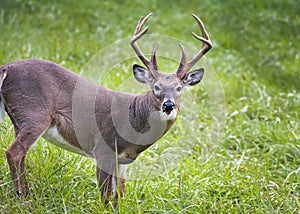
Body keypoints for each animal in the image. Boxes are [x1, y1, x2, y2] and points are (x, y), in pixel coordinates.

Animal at [0, 13, 211, 204]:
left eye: (179, 88)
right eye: (156, 87)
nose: (169, 105)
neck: (133, 120)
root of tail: (6, 68)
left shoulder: (122, 160)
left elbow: (120, 195)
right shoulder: (102, 148)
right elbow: (105, 195)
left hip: (21, 119)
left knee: (21, 154)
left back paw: (26, 192)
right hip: (34, 113)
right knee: (13, 152)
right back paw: (22, 196)